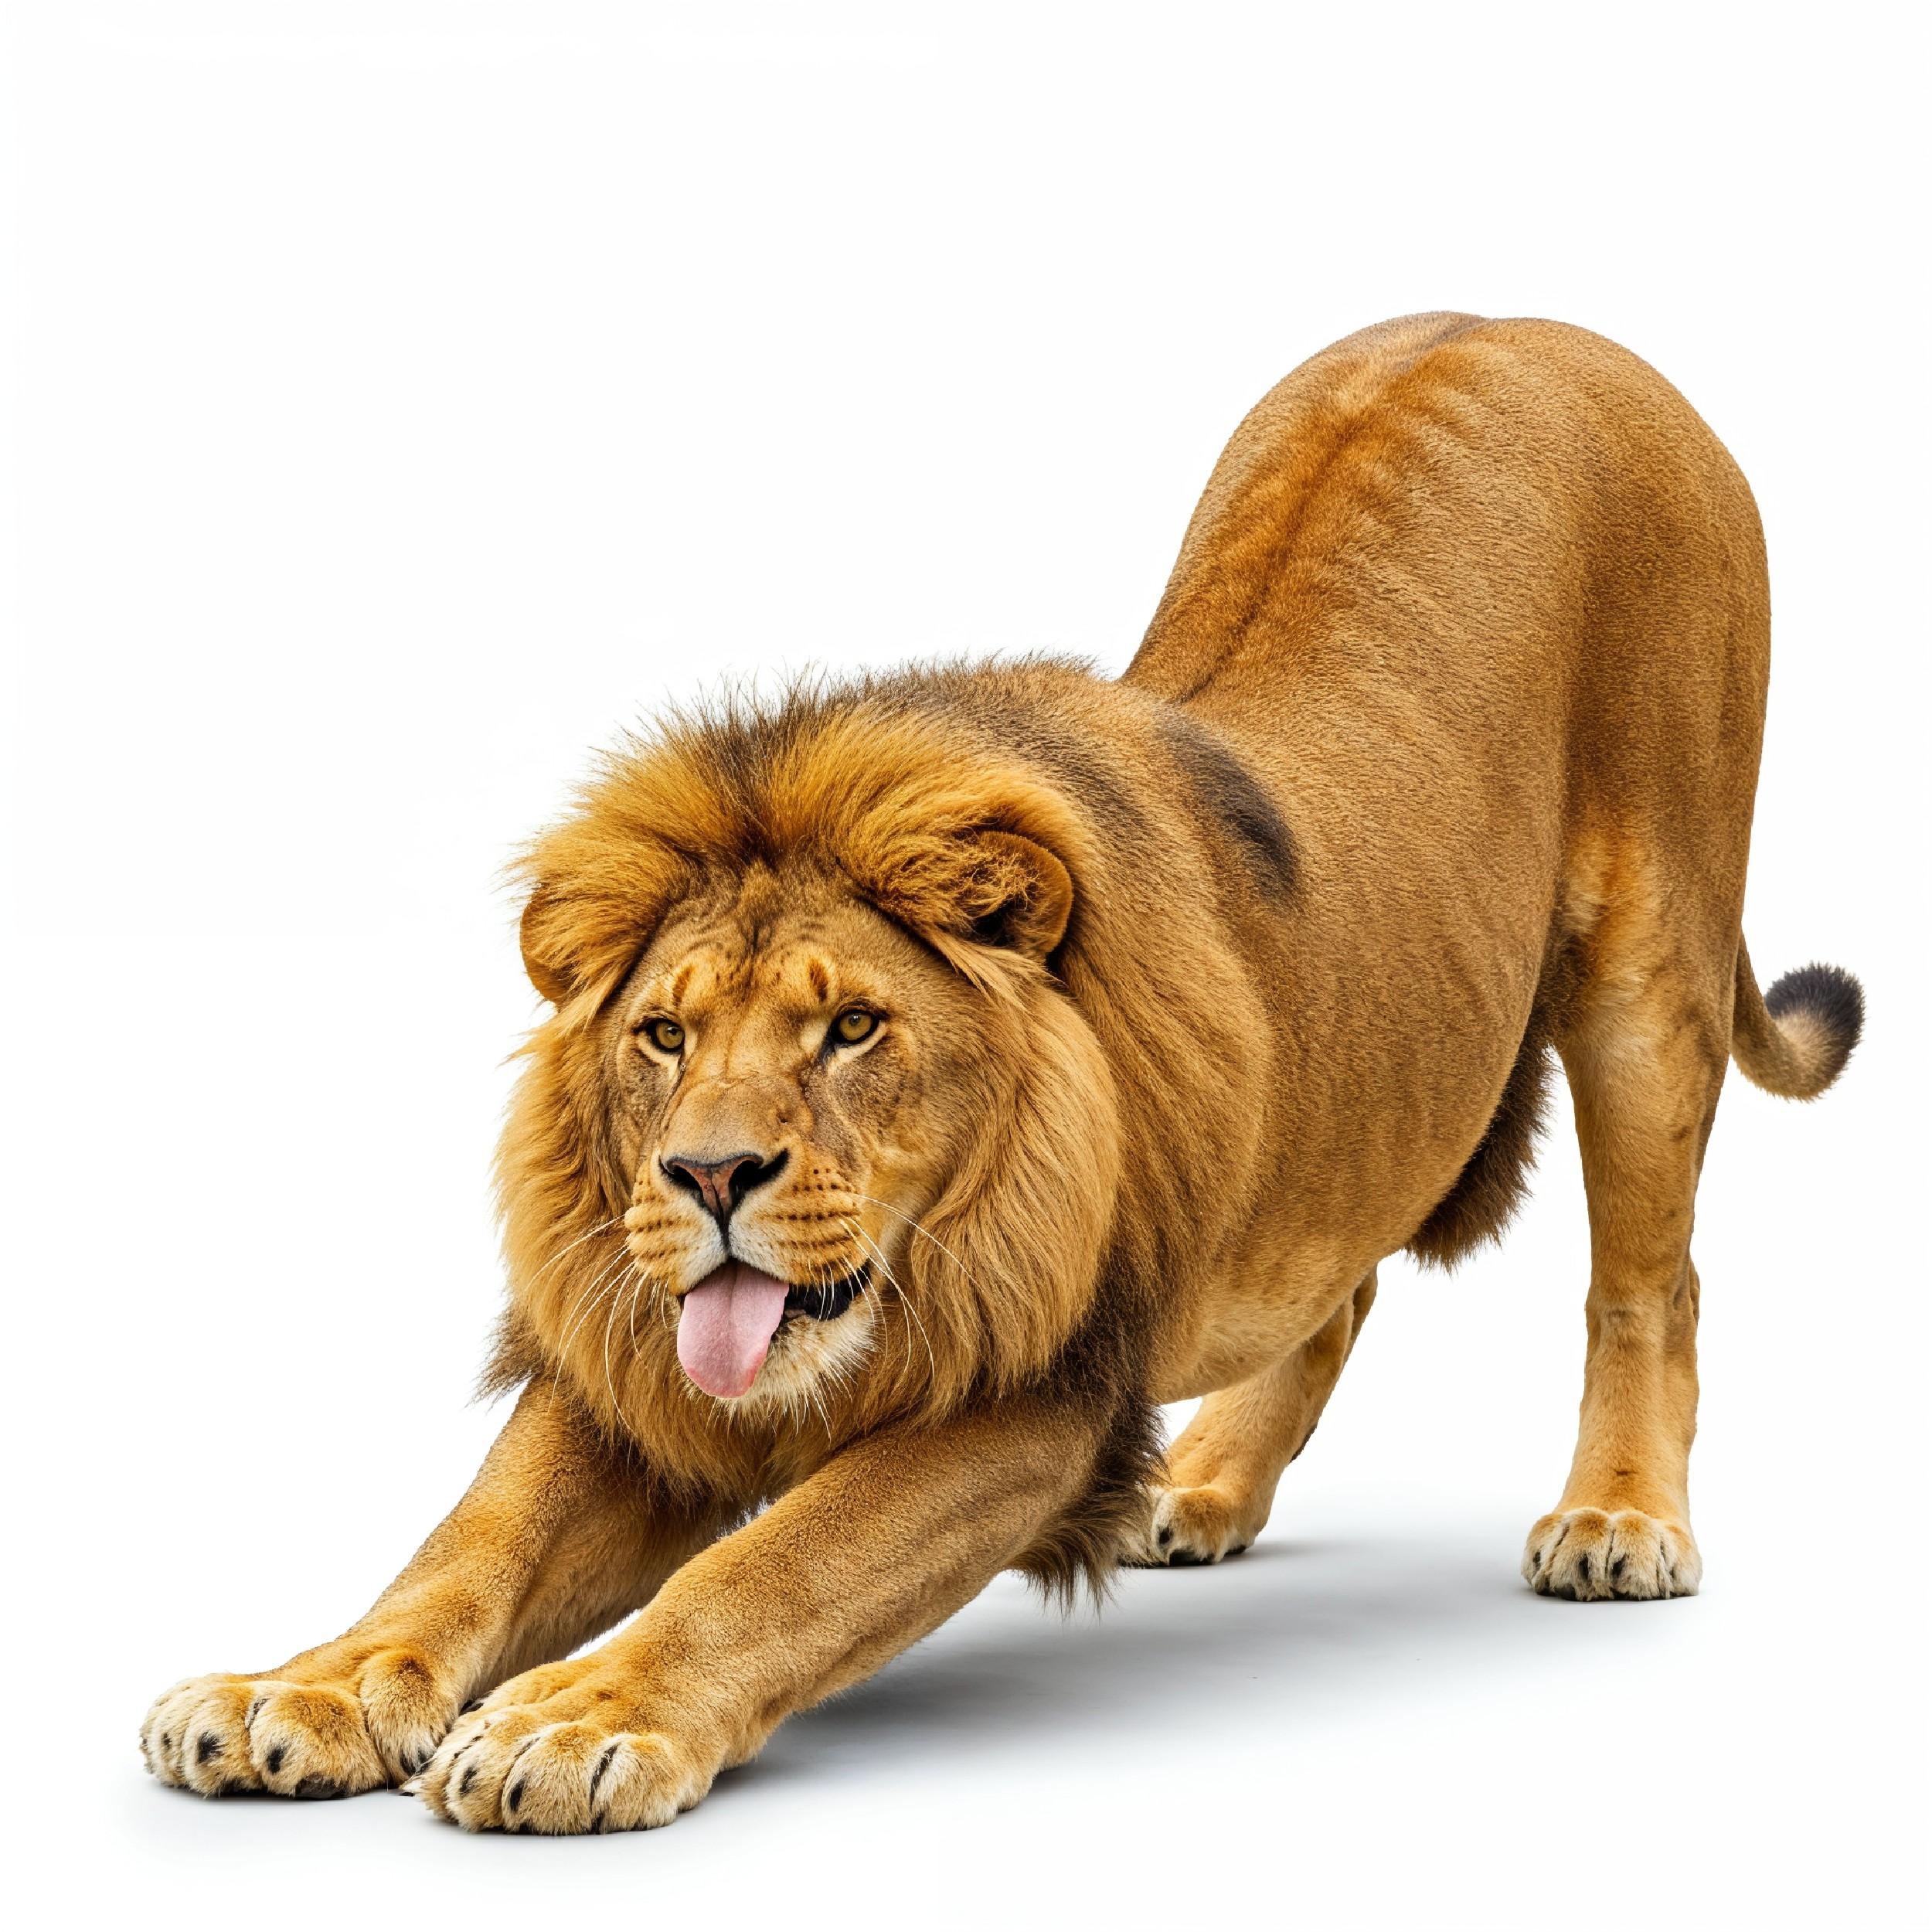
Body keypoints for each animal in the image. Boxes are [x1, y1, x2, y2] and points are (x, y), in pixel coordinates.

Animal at [142, 313, 1862, 1832]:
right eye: (665, 1035)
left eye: (850, 1027)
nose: (708, 1176)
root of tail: (1537, 323)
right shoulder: (639, 1353)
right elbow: (470, 1538)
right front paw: (295, 1688)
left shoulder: (1033, 1393)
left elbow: (775, 1566)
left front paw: (574, 1717)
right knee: (1338, 1277)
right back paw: (1204, 1490)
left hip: (1646, 977)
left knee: (1648, 1279)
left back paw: (1617, 1519)